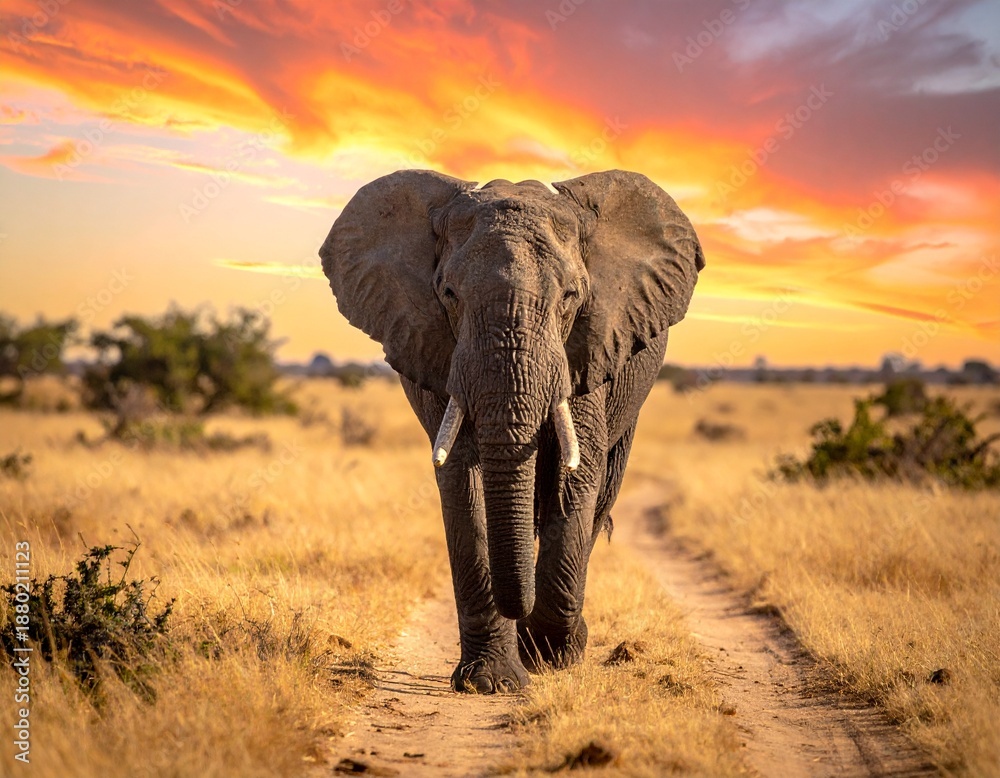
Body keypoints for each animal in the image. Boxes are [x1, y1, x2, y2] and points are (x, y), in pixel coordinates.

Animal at [319, 169, 704, 693]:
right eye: (448, 294)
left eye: (571, 298)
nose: (520, 613)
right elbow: (462, 479)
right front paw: (491, 682)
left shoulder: (586, 347)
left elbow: (576, 476)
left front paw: (549, 656)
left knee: (599, 492)